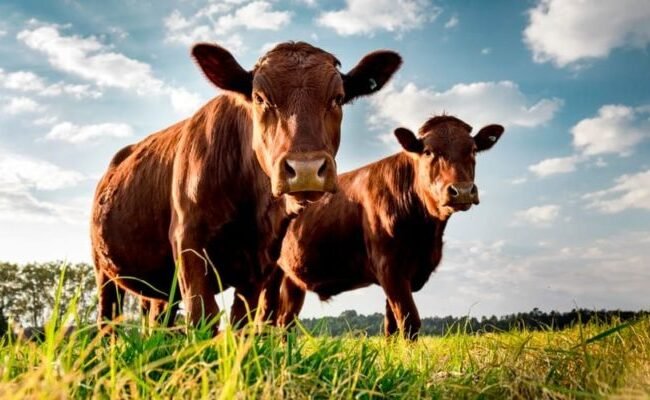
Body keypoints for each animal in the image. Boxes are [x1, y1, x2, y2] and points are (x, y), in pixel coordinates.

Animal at [90, 41, 402, 333]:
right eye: (259, 98)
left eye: (337, 98)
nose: (305, 170)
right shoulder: (187, 241)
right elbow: (203, 314)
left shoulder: (260, 263)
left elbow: (242, 321)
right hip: (103, 269)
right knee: (108, 319)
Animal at [270, 115, 504, 339]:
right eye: (428, 151)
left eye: (473, 150)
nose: (462, 190)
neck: (427, 234)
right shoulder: (389, 267)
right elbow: (410, 322)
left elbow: (391, 326)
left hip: (292, 278)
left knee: (285, 321)